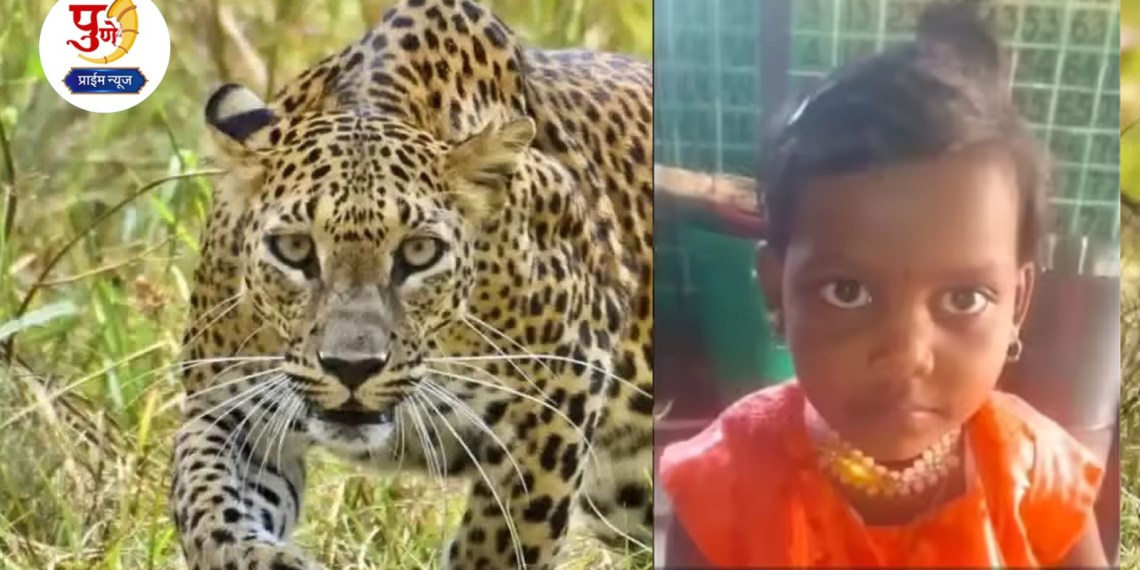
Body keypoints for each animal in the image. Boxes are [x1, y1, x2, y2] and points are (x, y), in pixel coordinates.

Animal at [168, 0, 653, 568]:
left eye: (420, 253)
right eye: (294, 248)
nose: (351, 367)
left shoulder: (561, 392)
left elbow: (501, 540)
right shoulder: (227, 411)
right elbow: (211, 514)